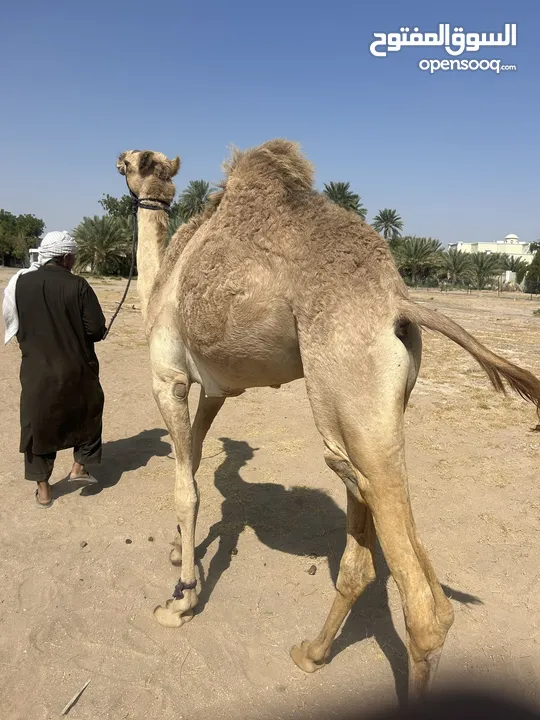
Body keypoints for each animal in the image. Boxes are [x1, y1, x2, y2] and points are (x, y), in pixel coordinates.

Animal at [116, 141, 540, 696]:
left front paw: (181, 599)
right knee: (380, 548)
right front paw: (176, 553)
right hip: (372, 412)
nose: (117, 160)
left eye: (133, 161)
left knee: (419, 601)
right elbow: (196, 459)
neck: (163, 278)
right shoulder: (216, 389)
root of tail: (399, 303)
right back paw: (312, 653)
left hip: (346, 392)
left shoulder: (168, 376)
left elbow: (184, 487)